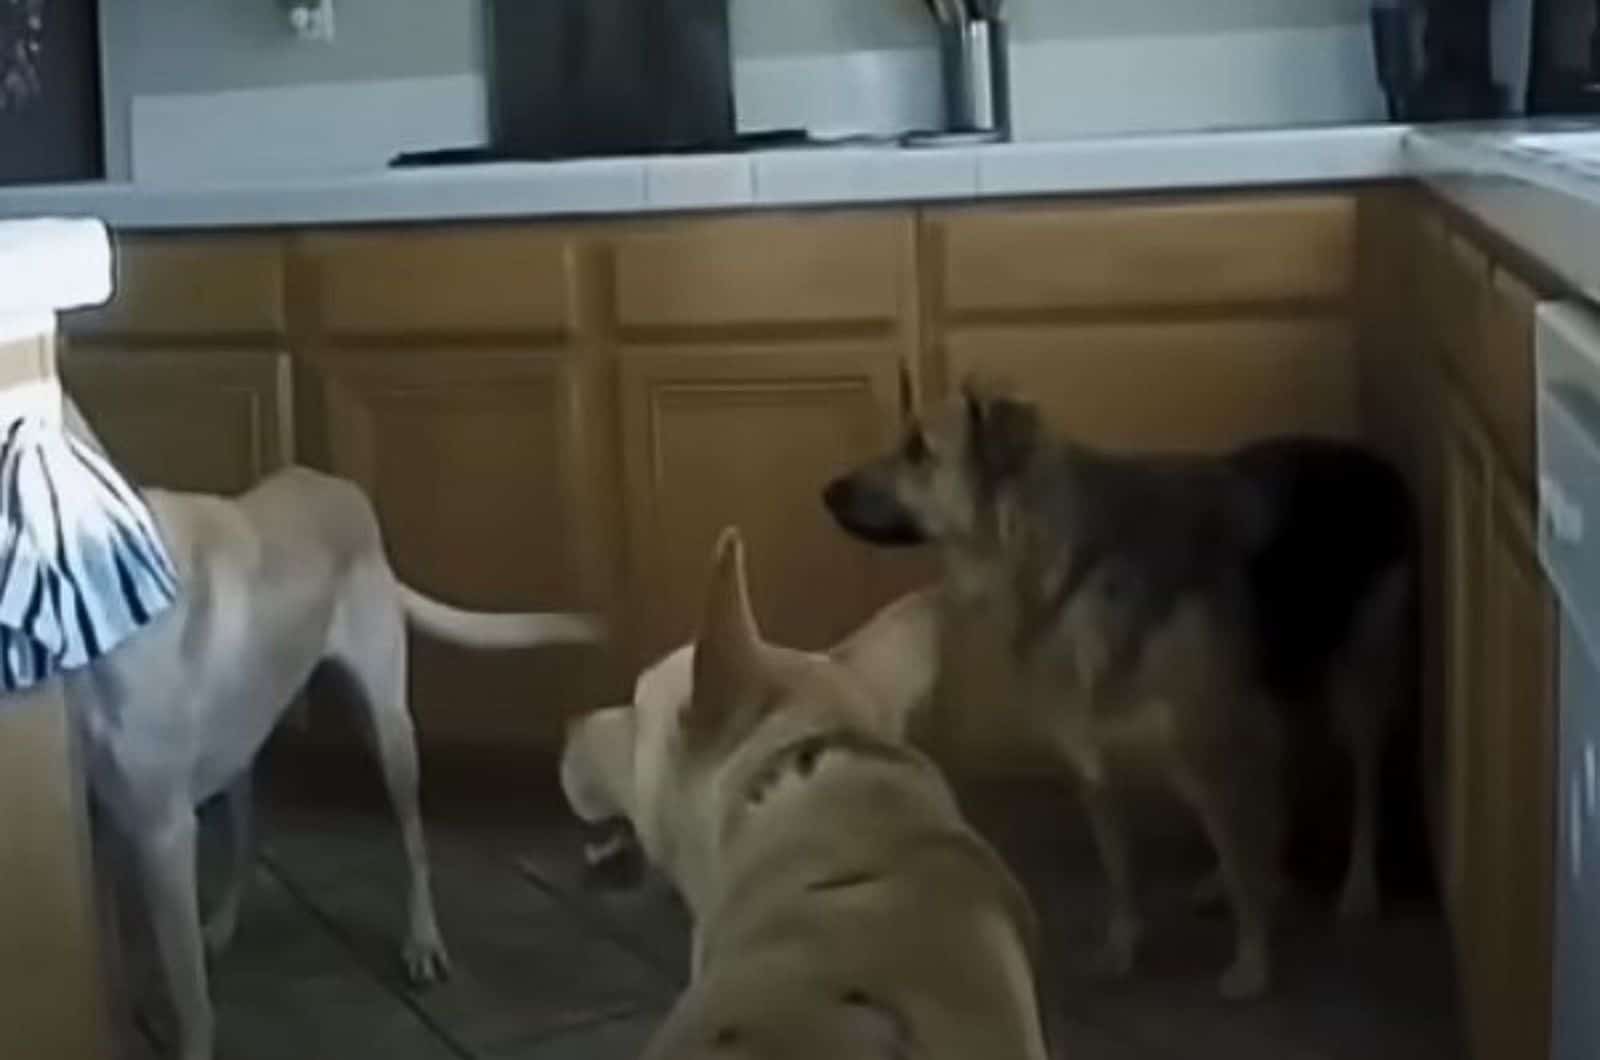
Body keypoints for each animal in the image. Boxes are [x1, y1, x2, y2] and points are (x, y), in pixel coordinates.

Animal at [60, 400, 601, 1060]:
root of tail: (339, 489)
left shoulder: (161, 833)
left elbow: (187, 994)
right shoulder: (95, 829)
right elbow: (108, 964)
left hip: (388, 729)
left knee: (413, 841)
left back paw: (422, 942)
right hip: (242, 740)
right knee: (248, 838)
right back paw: (224, 924)